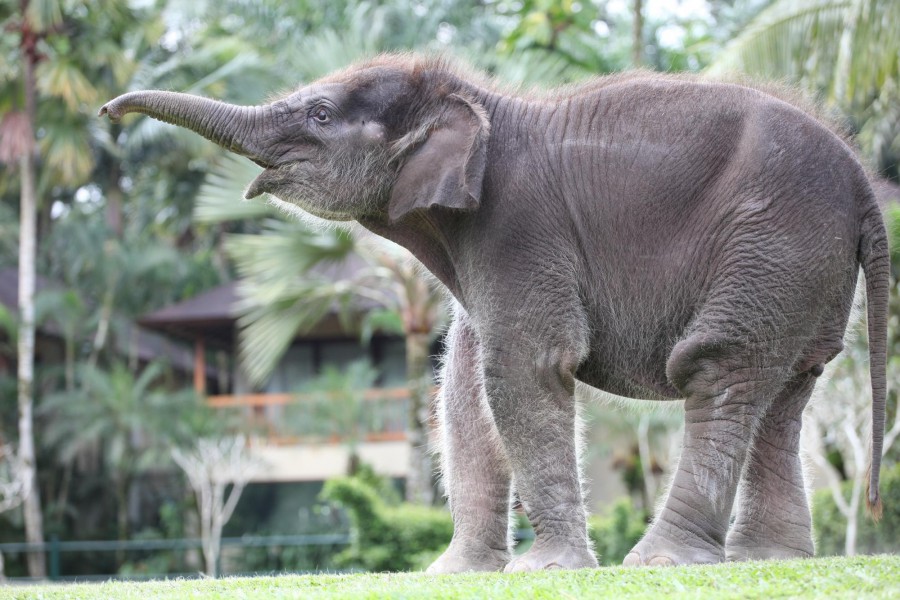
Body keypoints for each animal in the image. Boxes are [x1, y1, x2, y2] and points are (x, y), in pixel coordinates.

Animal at [100, 54, 889, 572]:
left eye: (321, 115)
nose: (106, 114)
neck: (474, 100)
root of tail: (862, 184)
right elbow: (464, 386)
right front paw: (454, 576)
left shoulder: (519, 225)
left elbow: (525, 368)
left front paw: (545, 573)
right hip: (801, 269)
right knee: (787, 390)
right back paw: (767, 561)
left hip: (774, 241)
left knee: (720, 368)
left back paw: (663, 564)